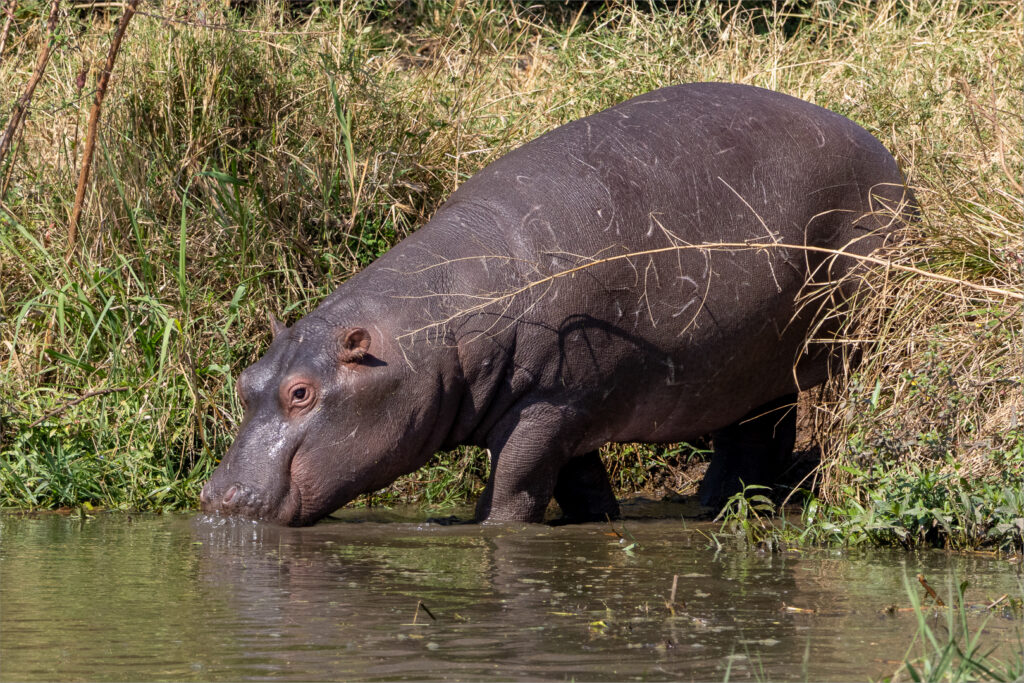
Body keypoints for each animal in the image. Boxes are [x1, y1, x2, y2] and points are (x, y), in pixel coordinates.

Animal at [200, 82, 914, 526]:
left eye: (300, 393)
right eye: (245, 380)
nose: (219, 497)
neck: (433, 331)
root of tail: (887, 154)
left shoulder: (550, 402)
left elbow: (514, 488)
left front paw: (487, 527)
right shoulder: (575, 409)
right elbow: (582, 487)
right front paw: (602, 515)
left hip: (845, 326)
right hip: (750, 359)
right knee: (755, 430)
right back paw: (717, 503)